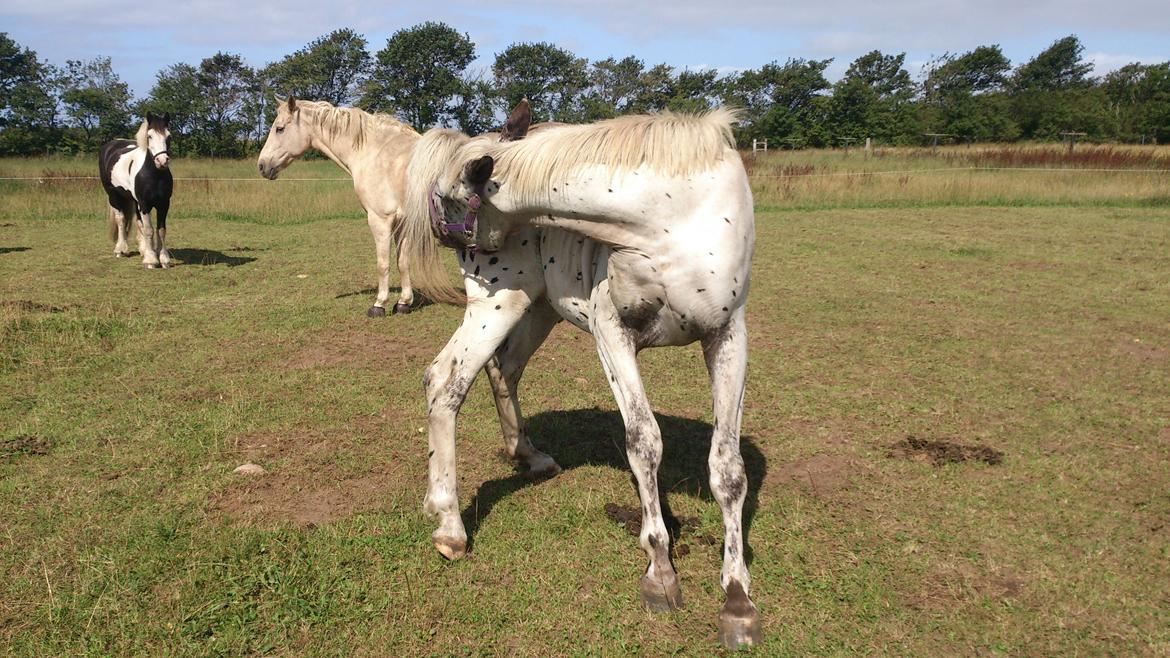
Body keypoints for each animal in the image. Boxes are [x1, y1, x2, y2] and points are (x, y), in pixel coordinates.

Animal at [100, 114, 174, 268]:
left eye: (168, 136)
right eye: (149, 136)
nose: (162, 161)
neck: (153, 174)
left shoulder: (164, 204)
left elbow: (161, 230)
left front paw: (163, 259)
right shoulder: (144, 204)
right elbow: (149, 230)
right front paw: (151, 260)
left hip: (134, 201)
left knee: (138, 222)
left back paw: (143, 250)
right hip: (113, 196)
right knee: (121, 220)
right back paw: (121, 250)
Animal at [256, 94, 460, 316]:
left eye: (279, 129)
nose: (262, 166)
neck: (382, 156)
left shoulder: (380, 220)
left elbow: (383, 264)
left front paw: (379, 304)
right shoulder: (404, 222)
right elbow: (403, 262)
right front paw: (403, 303)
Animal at [402, 108, 762, 646]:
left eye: (448, 194)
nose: (446, 236)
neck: (673, 220)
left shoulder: (728, 335)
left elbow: (728, 468)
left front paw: (737, 597)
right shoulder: (610, 329)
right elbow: (644, 443)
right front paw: (660, 572)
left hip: (531, 306)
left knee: (501, 369)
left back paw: (525, 458)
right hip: (499, 303)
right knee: (447, 380)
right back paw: (450, 526)